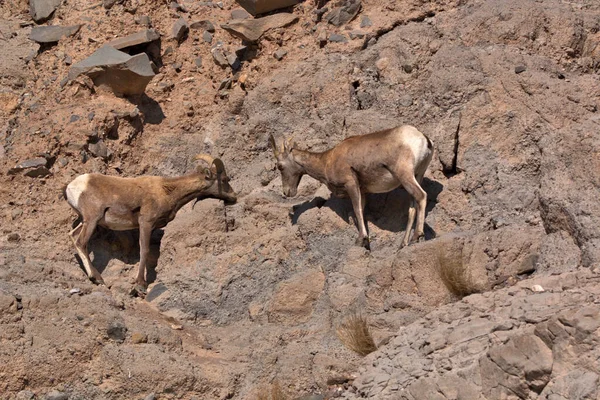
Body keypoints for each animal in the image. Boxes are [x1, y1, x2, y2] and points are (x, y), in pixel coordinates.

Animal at [63, 155, 237, 290]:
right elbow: (144, 250)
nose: (234, 197)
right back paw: (98, 278)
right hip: (92, 220)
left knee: (72, 235)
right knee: (81, 242)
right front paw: (140, 285)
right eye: (224, 179)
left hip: (87, 221)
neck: (168, 190)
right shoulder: (146, 223)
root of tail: (72, 186)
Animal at [270, 126, 434, 250]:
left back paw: (417, 236)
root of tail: (424, 139)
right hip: (417, 175)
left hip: (405, 175)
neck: (328, 160)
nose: (287, 192)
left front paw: (361, 239)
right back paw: (403, 244)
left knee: (421, 195)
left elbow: (357, 209)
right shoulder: (362, 191)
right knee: (412, 207)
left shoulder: (351, 184)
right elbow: (360, 211)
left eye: (280, 166)